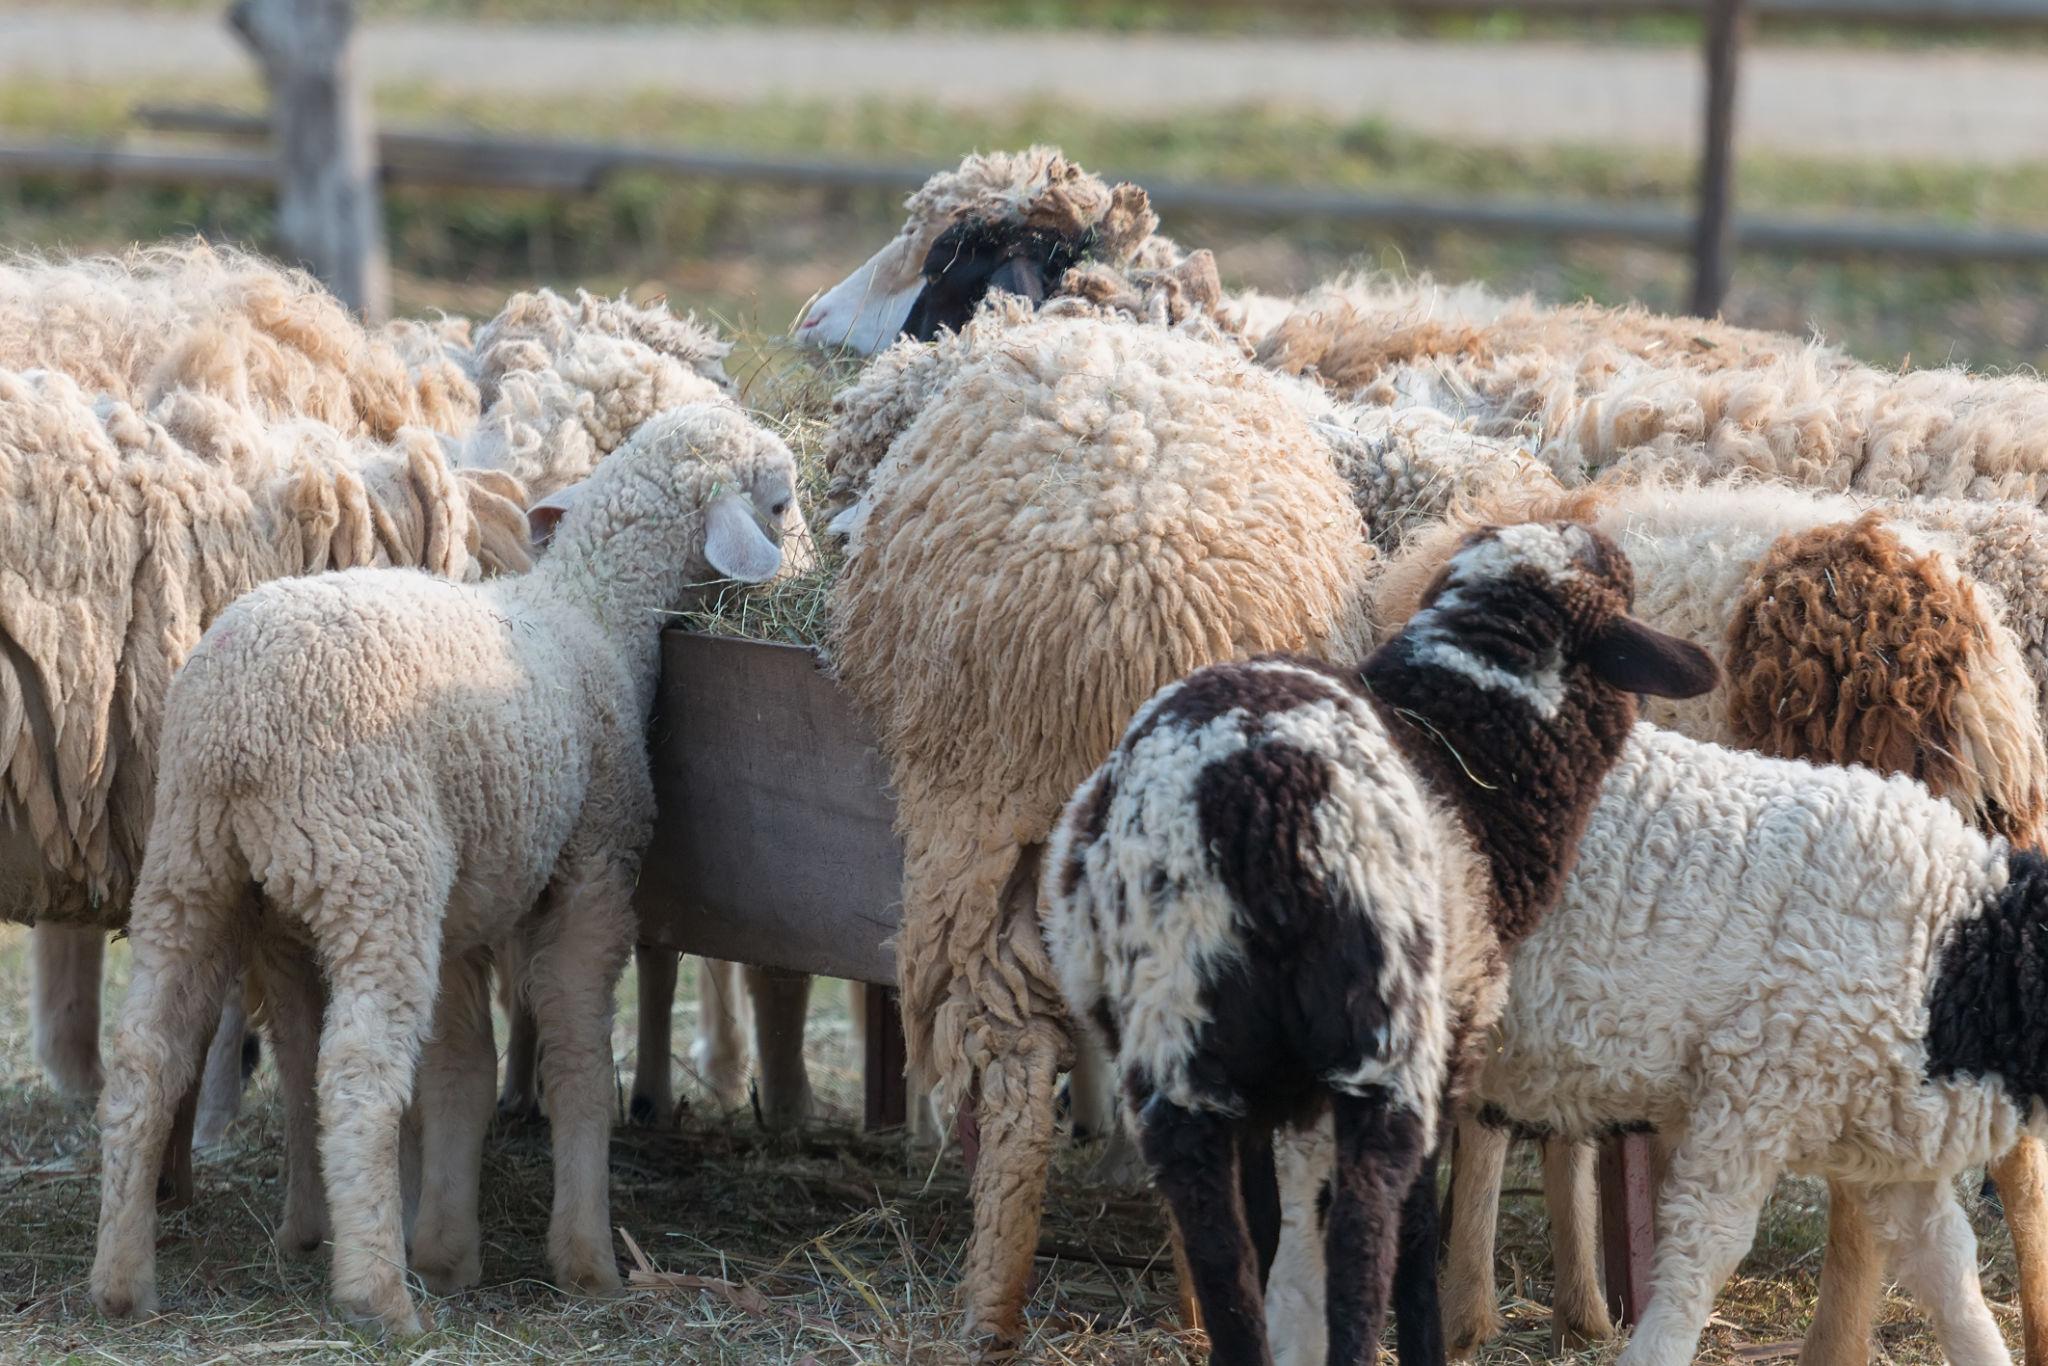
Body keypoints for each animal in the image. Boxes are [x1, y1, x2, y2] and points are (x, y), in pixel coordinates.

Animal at [90, 402, 803, 1335]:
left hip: (193, 870)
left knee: (147, 1057)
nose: (808, 559)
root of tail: (241, 718)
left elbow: (461, 1067)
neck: (592, 614)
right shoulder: (595, 872)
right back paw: (377, 1296)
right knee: (354, 1075)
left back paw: (122, 1280)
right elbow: (576, 1050)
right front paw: (587, 1259)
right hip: (378, 868)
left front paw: (447, 1249)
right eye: (783, 504)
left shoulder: (471, 899)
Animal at [1042, 522, 1718, 1365]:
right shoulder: (1451, 1038)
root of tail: (1249, 788)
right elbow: (1419, 1227)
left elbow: (1268, 1223)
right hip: (1384, 1037)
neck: (1471, 755)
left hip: (1176, 1042)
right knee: (1365, 1234)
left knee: (1222, 1246)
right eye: (1614, 574)